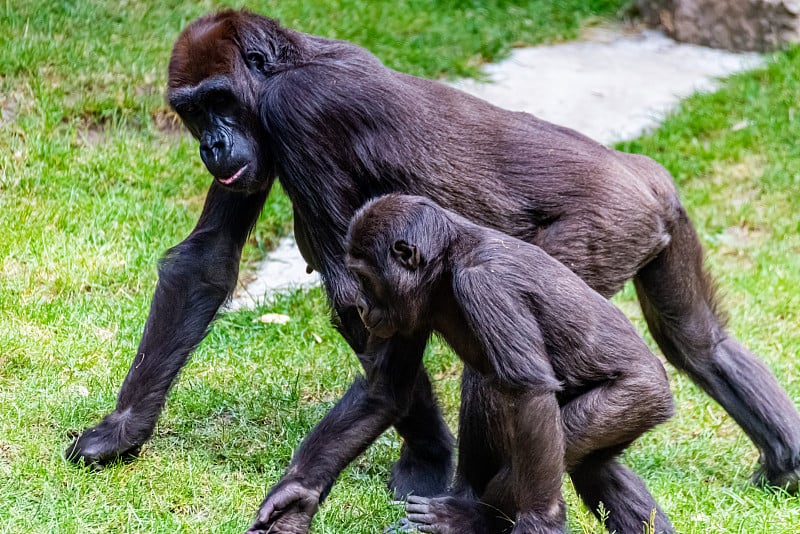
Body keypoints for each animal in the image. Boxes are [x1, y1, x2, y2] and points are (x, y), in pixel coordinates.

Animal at [346, 196, 676, 534]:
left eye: (364, 278)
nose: (359, 305)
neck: (447, 263)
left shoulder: (486, 284)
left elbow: (530, 393)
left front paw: (538, 518)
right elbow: (385, 390)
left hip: (636, 394)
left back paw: (470, 516)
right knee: (592, 465)